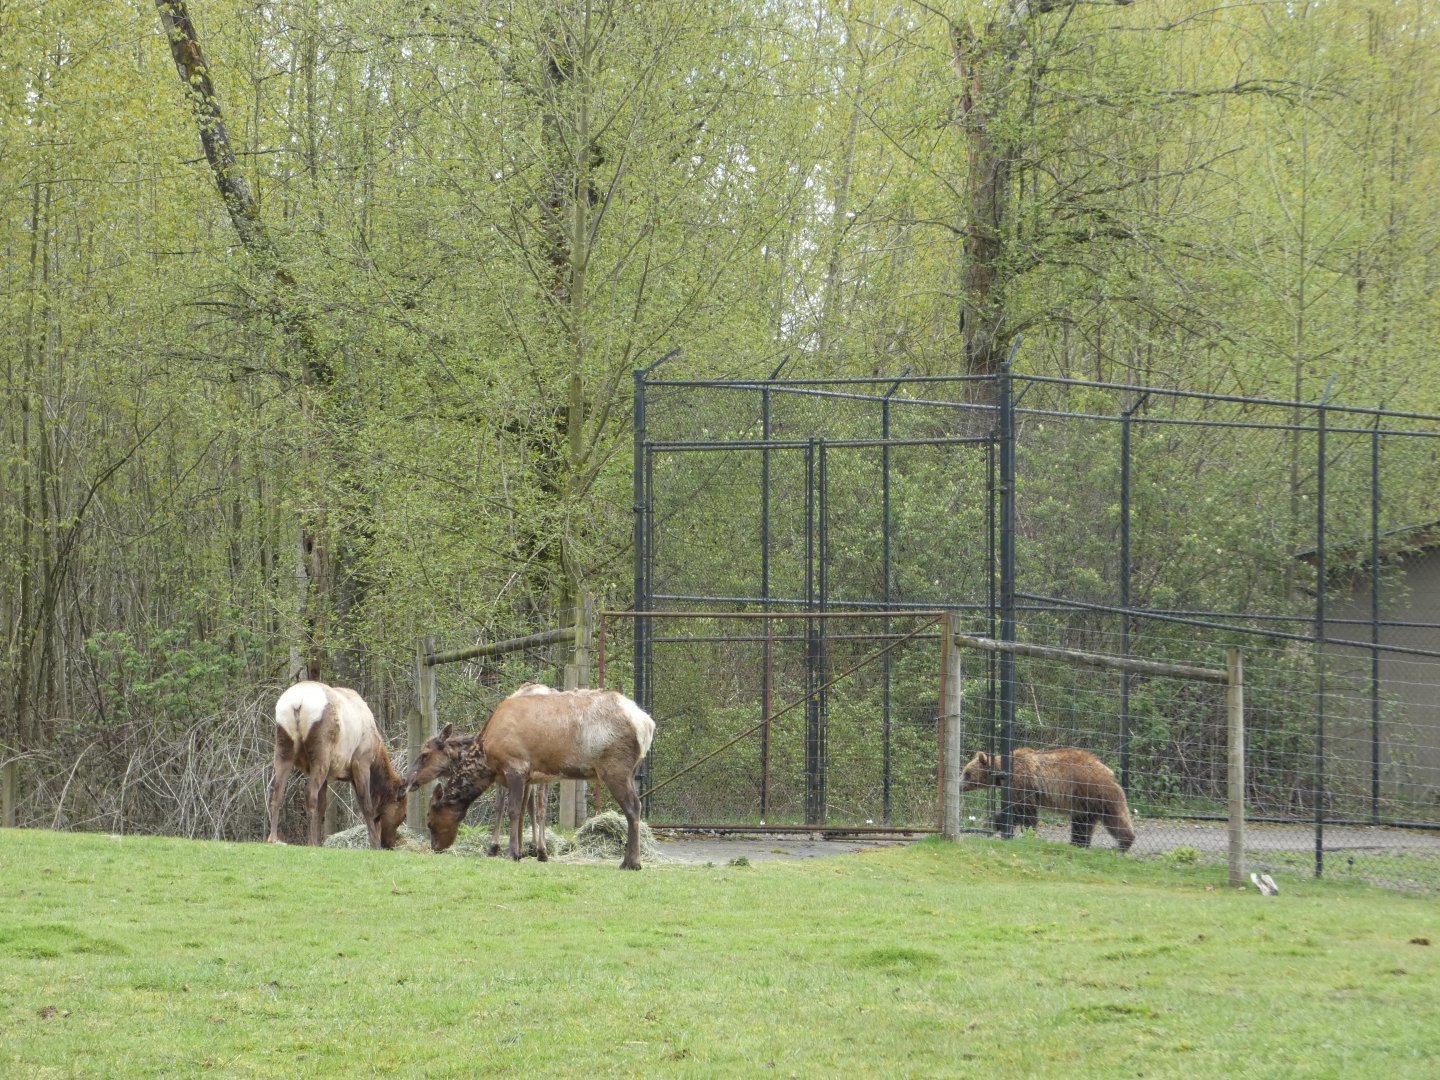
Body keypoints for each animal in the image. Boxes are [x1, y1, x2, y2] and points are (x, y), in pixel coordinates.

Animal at [266, 680, 408, 850]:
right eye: (403, 814)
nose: (390, 843)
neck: (376, 753)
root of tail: (297, 703)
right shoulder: (361, 762)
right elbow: (366, 805)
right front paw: (374, 845)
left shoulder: (329, 774)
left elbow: (323, 806)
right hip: (321, 754)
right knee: (309, 794)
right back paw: (310, 842)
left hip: (283, 747)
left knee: (277, 792)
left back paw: (273, 838)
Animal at [960, 746, 1135, 851]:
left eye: (967, 773)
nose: (959, 784)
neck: (1002, 774)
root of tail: (1109, 772)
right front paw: (992, 824)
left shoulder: (1022, 783)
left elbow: (1023, 811)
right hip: (1082, 803)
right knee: (1081, 823)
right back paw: (1077, 844)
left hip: (1095, 792)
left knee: (1113, 818)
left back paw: (1123, 844)